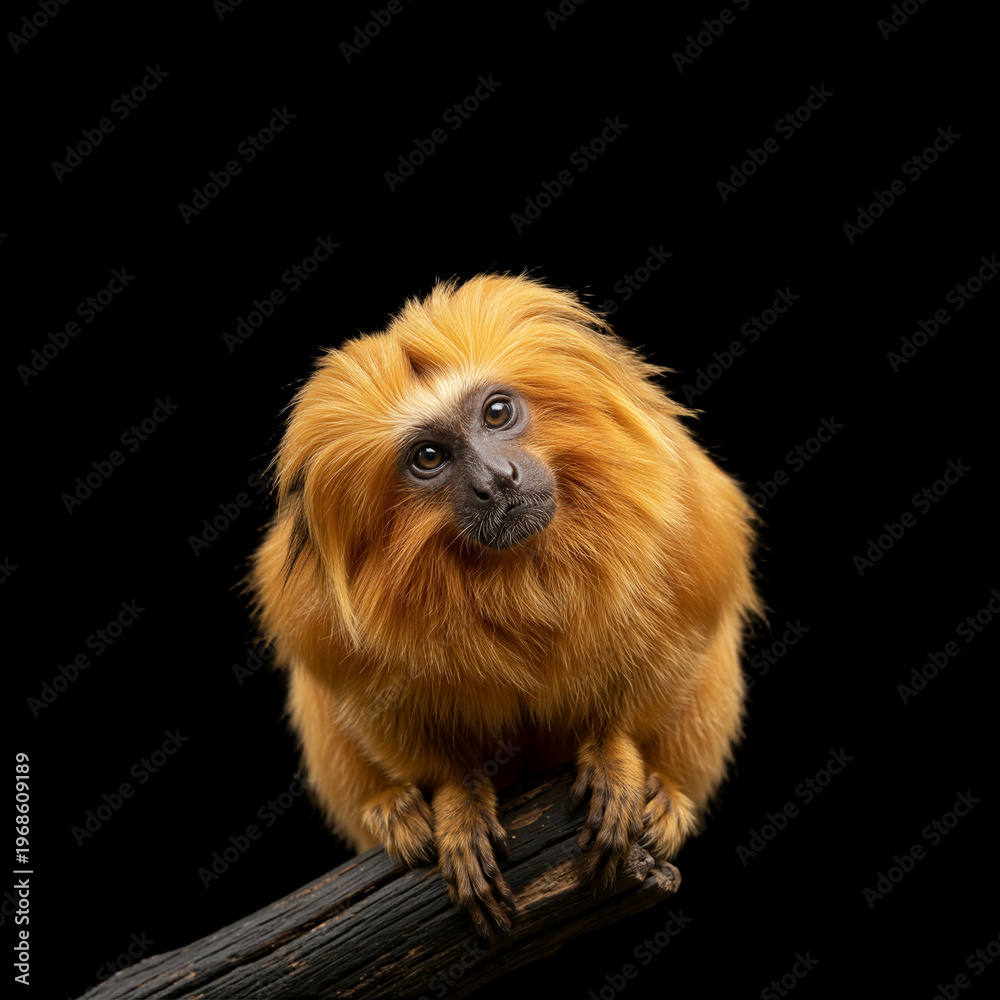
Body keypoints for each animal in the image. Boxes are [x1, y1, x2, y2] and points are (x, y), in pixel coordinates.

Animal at [248, 273, 761, 940]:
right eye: (430, 458)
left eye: (497, 413)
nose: (498, 480)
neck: (519, 573)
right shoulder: (338, 637)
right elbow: (377, 711)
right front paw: (455, 799)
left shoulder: (685, 533)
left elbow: (675, 654)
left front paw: (615, 756)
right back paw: (390, 808)